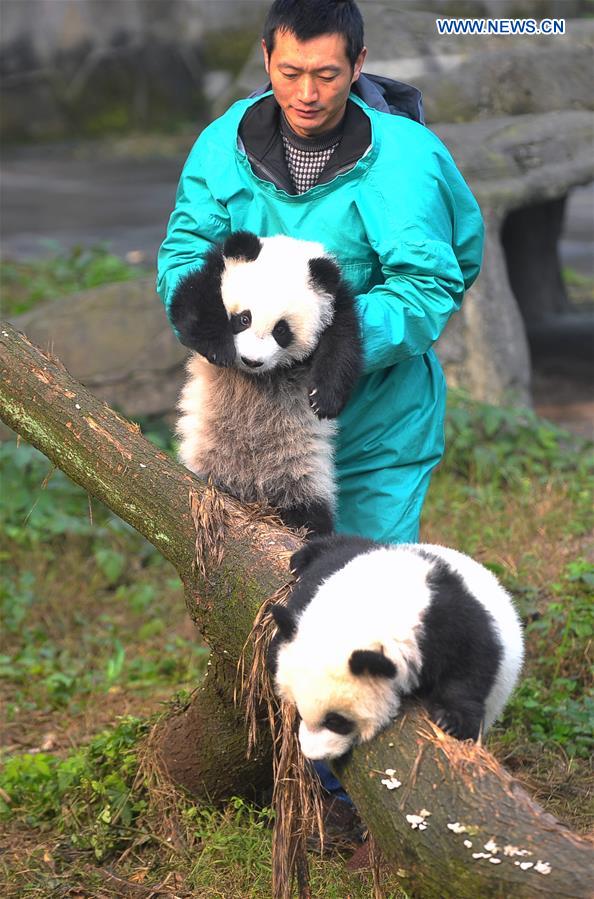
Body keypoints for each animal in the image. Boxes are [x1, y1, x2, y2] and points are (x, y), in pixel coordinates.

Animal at [170, 231, 362, 537]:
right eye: (243, 318)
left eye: (281, 330)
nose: (251, 361)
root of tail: (251, 491)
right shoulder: (214, 270)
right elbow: (192, 303)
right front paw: (218, 349)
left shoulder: (337, 303)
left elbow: (343, 344)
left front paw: (324, 398)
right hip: (206, 459)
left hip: (303, 469)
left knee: (310, 504)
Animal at [268, 534, 524, 760]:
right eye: (299, 710)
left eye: (335, 721)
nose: (313, 754)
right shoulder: (323, 579)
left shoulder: (447, 620)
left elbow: (471, 664)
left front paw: (451, 720)